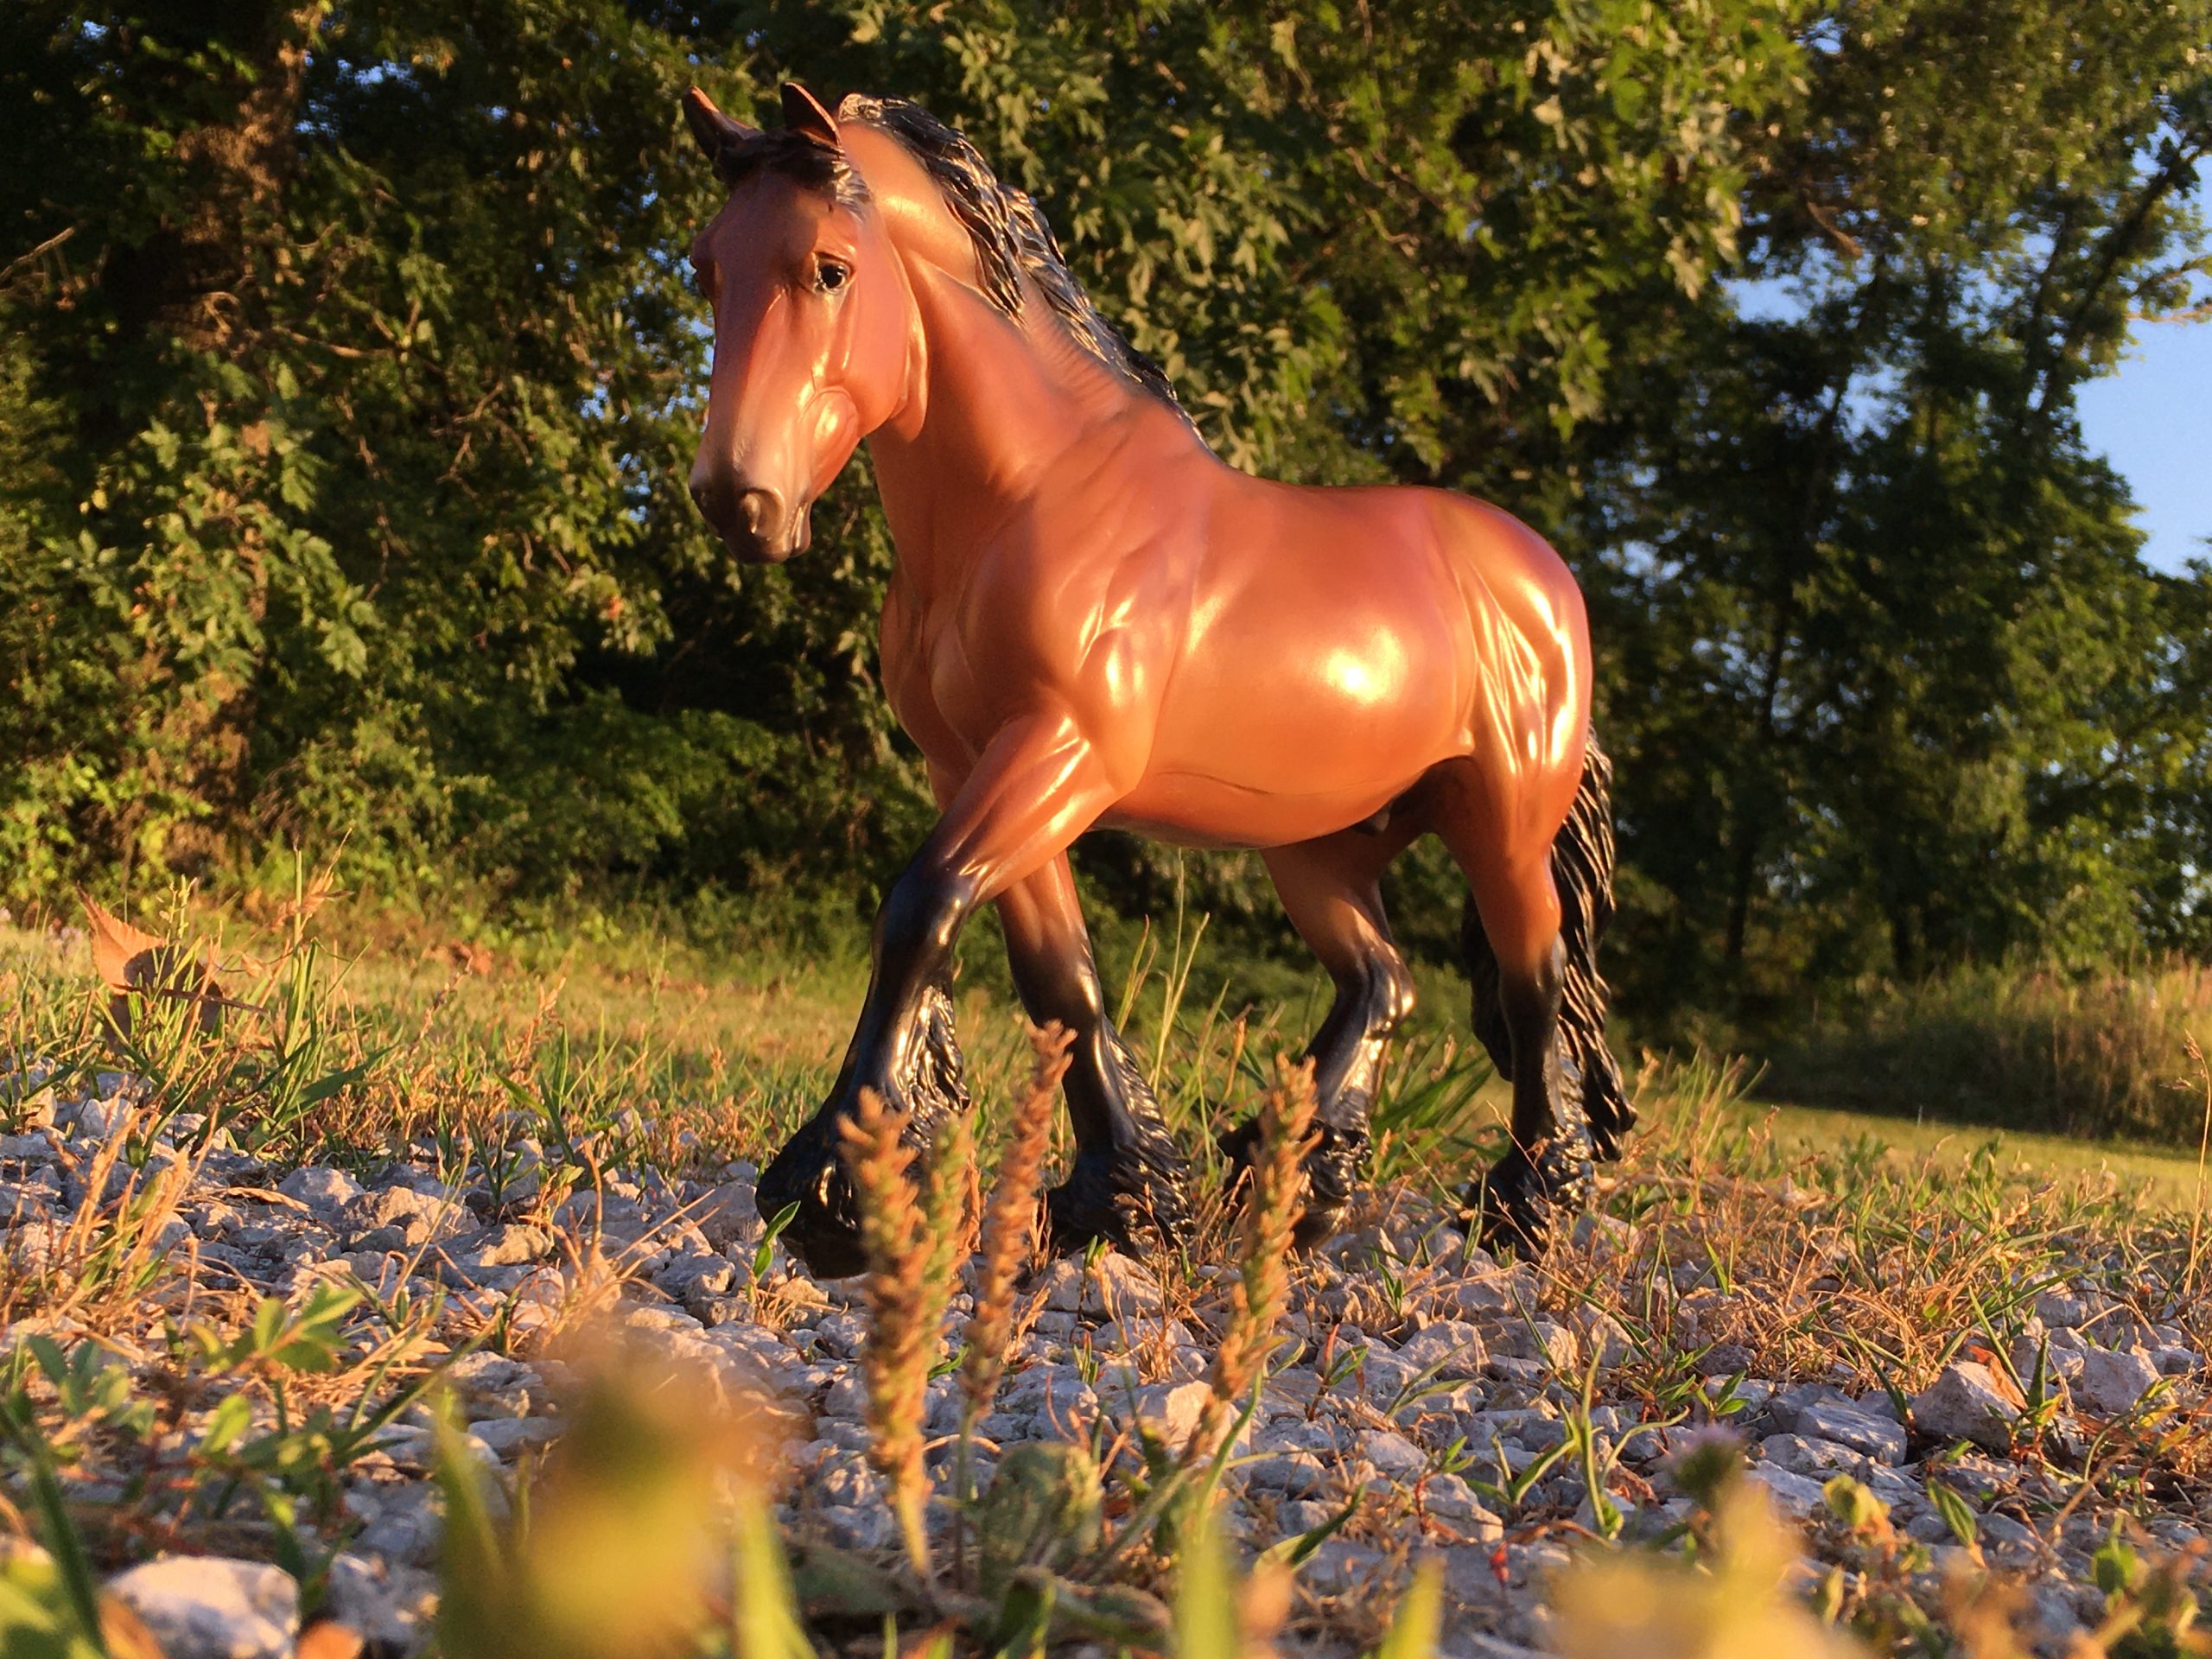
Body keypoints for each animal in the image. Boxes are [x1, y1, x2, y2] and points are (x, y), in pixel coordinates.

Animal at [681, 81, 1637, 1282]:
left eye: (829, 267)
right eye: (706, 270)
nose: (739, 501)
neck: (1030, 497)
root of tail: (1541, 576)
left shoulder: (1062, 752)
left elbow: (920, 909)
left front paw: (832, 1194)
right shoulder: (976, 765)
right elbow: (1060, 980)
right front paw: (1122, 1200)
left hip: (1500, 824)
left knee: (1533, 981)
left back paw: (1527, 1208)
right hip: (1318, 846)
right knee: (1384, 981)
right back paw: (1292, 1188)